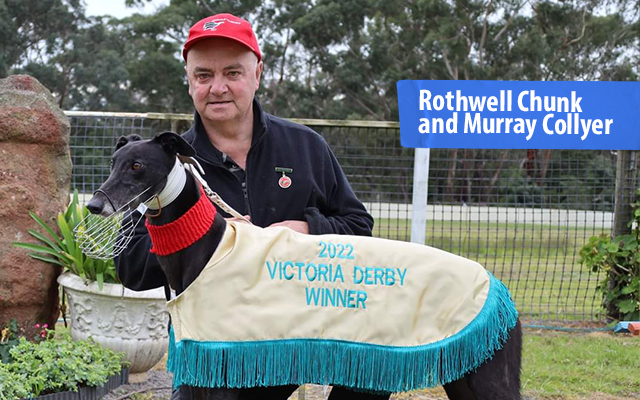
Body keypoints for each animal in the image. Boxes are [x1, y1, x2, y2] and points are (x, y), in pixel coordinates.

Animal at [87, 132, 522, 400]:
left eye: (138, 166)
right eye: (112, 162)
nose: (94, 204)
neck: (208, 243)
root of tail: (498, 288)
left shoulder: (222, 362)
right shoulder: (200, 365)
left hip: (487, 378)